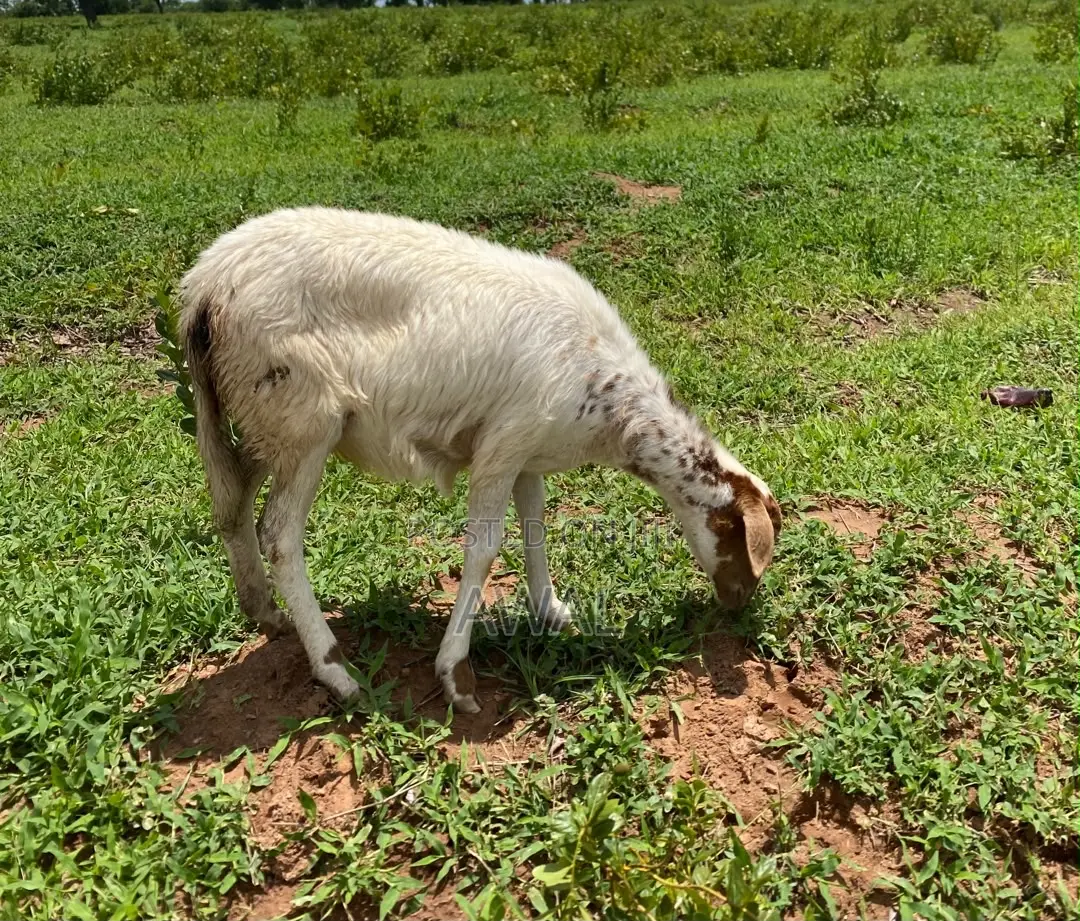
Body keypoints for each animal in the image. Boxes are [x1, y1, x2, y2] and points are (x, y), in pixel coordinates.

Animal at [179, 206, 782, 714]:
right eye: (738, 537)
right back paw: (336, 671)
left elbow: (536, 527)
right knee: (280, 535)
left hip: (255, 417)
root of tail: (202, 287)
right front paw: (456, 675)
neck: (612, 410)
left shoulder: (529, 452)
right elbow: (484, 550)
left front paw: (550, 611)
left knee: (231, 501)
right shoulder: (501, 445)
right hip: (302, 414)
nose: (738, 602)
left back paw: (263, 611)